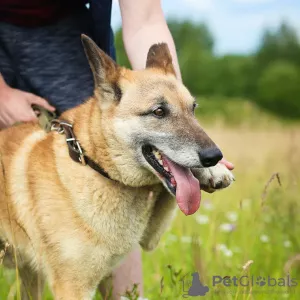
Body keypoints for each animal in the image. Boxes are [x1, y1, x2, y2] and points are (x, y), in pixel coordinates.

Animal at [0, 34, 234, 298]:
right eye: (159, 112)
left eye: (192, 109)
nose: (213, 156)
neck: (91, 163)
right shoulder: (73, 287)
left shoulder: (150, 237)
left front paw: (213, 171)